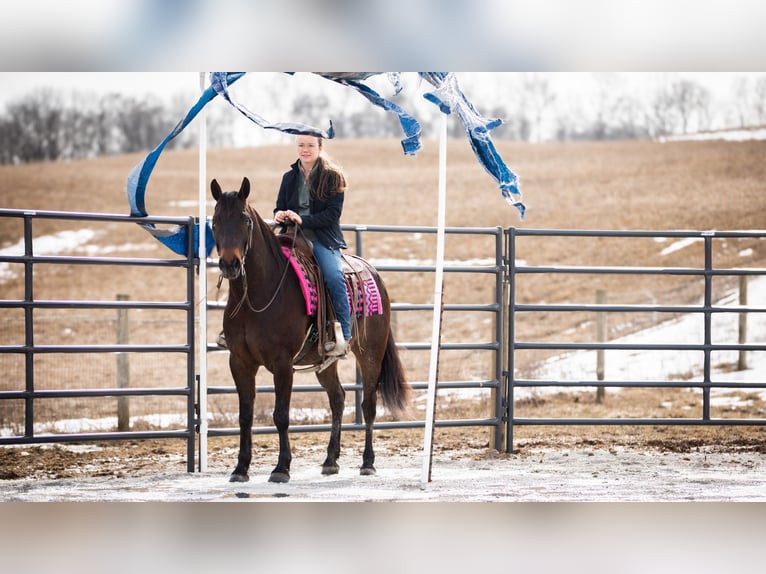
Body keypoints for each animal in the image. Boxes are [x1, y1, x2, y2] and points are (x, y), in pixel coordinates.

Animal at [210, 178, 414, 484]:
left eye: (245, 220)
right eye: (214, 221)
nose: (230, 264)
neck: (257, 295)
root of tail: (373, 272)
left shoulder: (283, 364)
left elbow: (281, 415)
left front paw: (281, 468)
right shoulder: (240, 361)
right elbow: (245, 416)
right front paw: (240, 468)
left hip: (370, 353)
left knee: (368, 404)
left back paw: (367, 462)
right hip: (325, 362)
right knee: (338, 398)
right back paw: (330, 460)